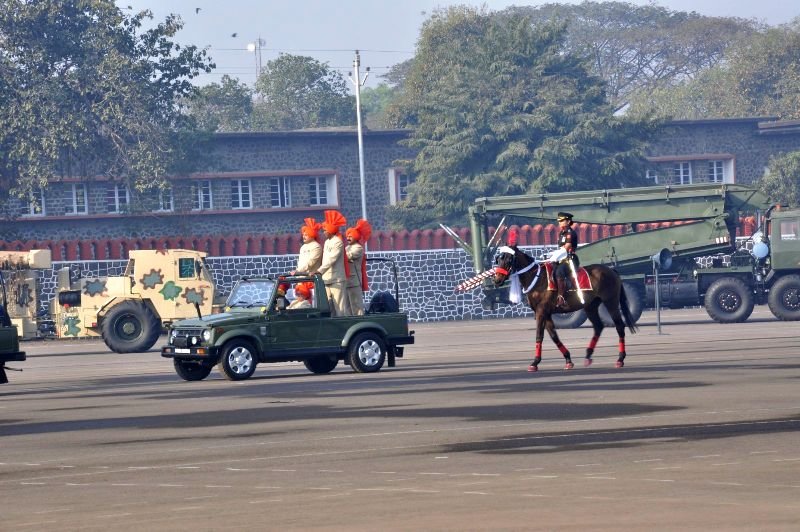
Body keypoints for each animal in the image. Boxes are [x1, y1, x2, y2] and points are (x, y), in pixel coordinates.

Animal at [494, 244, 636, 372]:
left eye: (508, 260)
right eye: (498, 259)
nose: (497, 280)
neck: (537, 278)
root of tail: (611, 270)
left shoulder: (541, 312)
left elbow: (539, 335)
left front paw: (535, 362)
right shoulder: (547, 313)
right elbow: (554, 336)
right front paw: (568, 360)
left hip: (611, 303)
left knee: (619, 326)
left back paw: (620, 359)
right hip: (590, 306)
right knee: (598, 327)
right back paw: (588, 355)